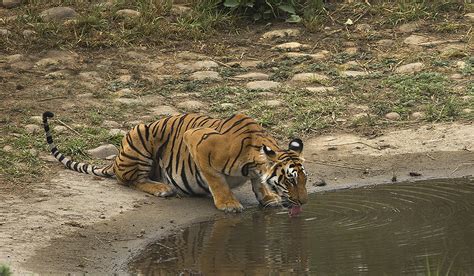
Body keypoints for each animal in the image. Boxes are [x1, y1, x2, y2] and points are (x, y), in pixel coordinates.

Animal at [42, 111, 310, 213]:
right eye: (290, 180)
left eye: (305, 180)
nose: (304, 202)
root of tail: (116, 159)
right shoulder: (197, 142)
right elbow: (216, 180)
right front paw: (228, 204)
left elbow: (259, 181)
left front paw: (268, 197)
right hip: (140, 136)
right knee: (127, 180)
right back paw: (162, 188)